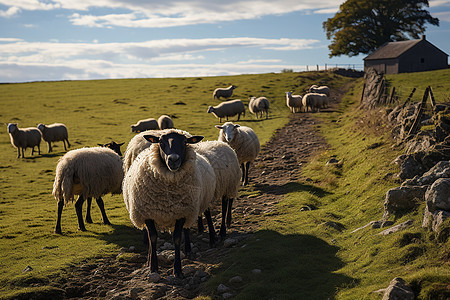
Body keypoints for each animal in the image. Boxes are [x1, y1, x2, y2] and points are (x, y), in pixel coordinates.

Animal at [122, 129, 215, 276]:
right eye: (161, 142)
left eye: (184, 142)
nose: (173, 159)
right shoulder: (148, 214)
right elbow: (153, 237)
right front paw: (153, 266)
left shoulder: (181, 213)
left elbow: (177, 238)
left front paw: (177, 270)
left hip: (193, 206)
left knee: (191, 225)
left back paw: (190, 248)